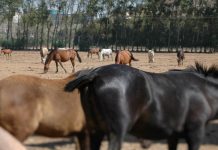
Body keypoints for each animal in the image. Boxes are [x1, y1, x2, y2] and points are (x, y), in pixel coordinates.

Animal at [64, 62, 218, 150]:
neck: (204, 89)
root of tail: (95, 74)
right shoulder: (195, 132)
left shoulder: (173, 135)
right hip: (116, 132)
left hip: (95, 131)